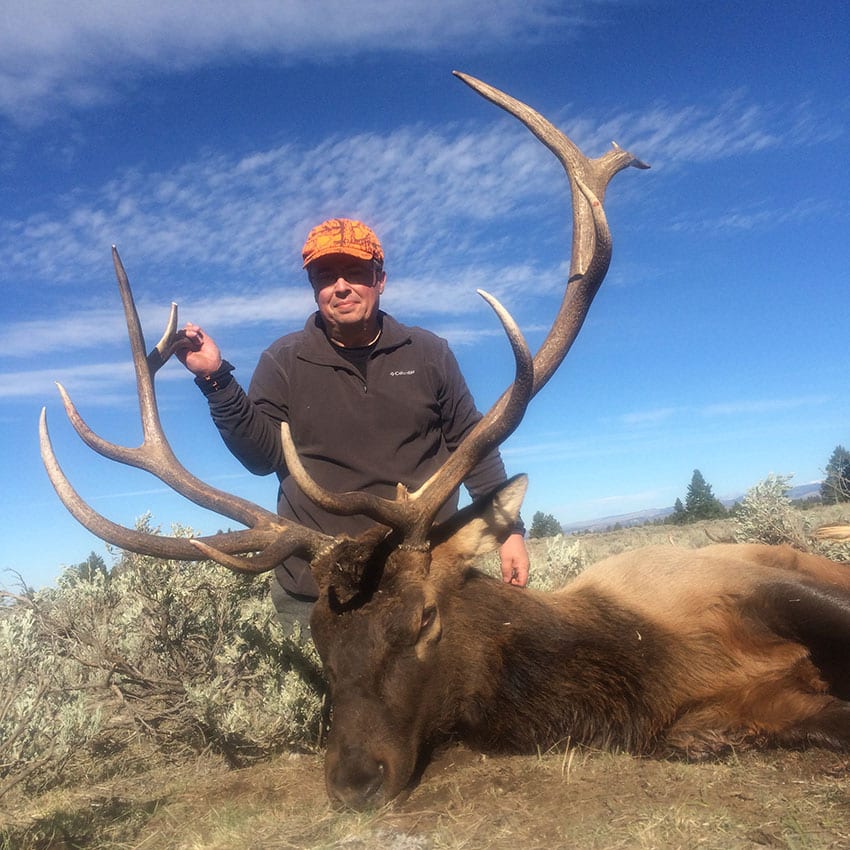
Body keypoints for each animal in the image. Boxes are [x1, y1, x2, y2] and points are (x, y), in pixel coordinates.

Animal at [40, 72, 850, 811]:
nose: (353, 783)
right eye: (321, 641)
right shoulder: (704, 725)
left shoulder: (732, 584)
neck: (638, 661)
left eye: (423, 619)